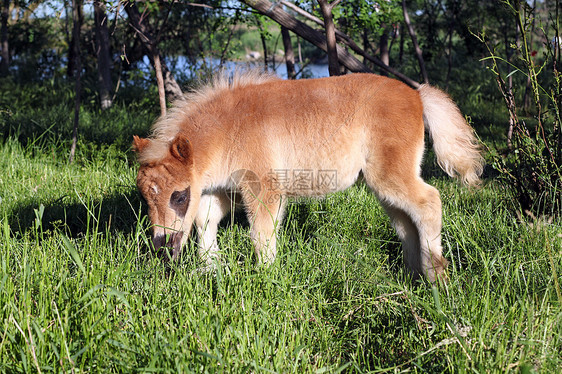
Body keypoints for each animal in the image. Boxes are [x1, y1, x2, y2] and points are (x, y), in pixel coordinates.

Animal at [132, 70, 482, 282]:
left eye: (179, 195)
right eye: (146, 198)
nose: (162, 247)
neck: (229, 126)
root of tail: (416, 94)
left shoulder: (263, 187)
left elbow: (261, 233)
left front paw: (266, 277)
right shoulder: (221, 189)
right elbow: (206, 221)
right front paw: (210, 269)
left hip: (390, 174)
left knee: (428, 202)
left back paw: (437, 277)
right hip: (384, 183)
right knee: (405, 219)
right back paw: (413, 276)